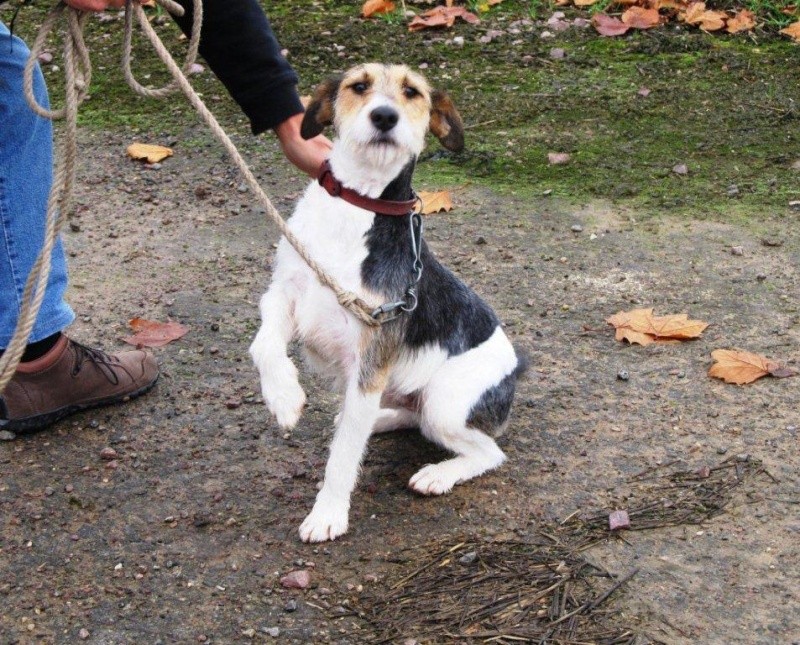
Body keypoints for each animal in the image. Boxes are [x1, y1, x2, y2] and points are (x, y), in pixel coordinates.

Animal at [250, 64, 524, 544]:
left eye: (412, 92)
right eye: (359, 85)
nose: (384, 116)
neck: (357, 208)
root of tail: (515, 368)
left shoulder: (372, 356)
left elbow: (343, 457)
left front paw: (328, 513)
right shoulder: (284, 293)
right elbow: (263, 345)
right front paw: (283, 397)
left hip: (446, 404)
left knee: (488, 452)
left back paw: (438, 473)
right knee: (400, 417)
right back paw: (377, 419)